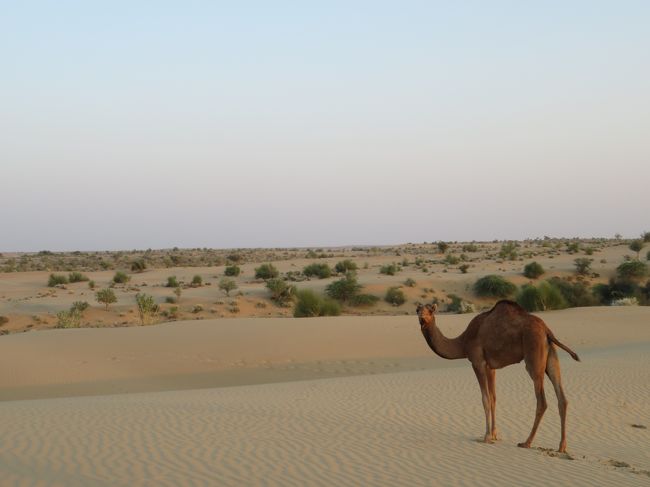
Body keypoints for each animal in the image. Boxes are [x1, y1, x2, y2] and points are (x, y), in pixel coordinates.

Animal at [418, 302, 580, 454]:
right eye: (418, 310)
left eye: (430, 310)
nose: (422, 318)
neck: (462, 343)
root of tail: (547, 330)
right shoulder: (491, 367)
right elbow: (493, 398)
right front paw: (495, 434)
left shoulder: (477, 362)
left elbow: (485, 399)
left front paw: (486, 436)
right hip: (551, 355)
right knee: (562, 398)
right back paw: (562, 446)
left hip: (534, 355)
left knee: (542, 401)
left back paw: (526, 442)